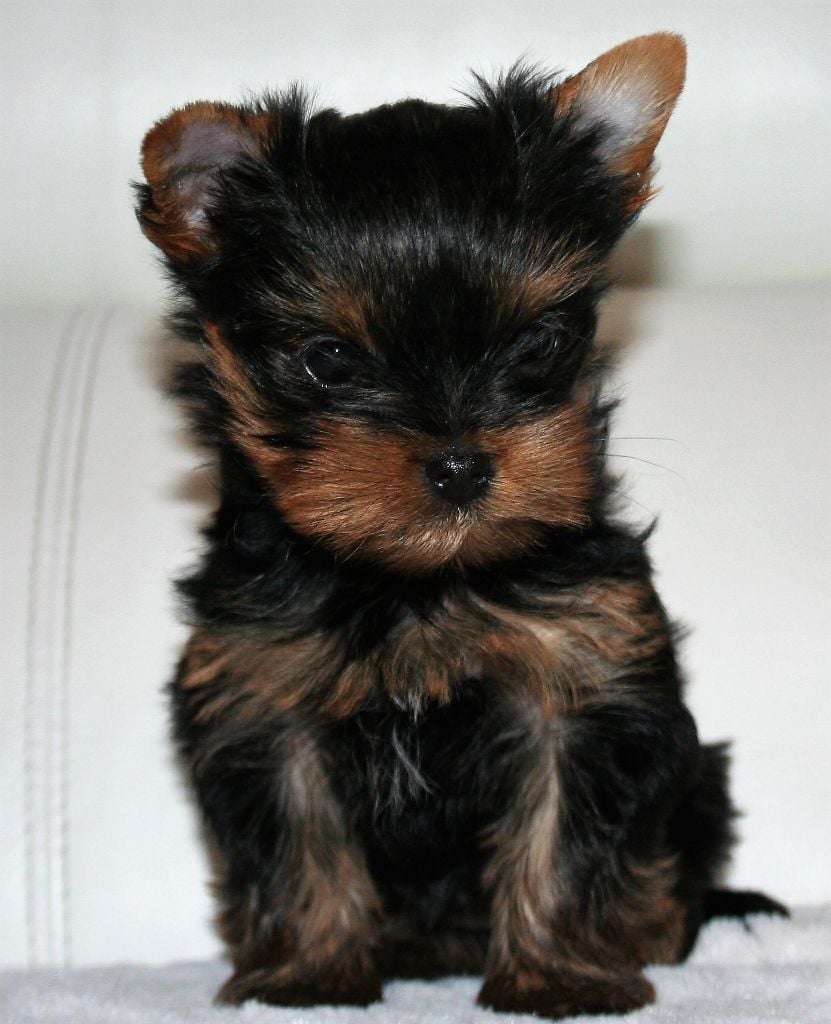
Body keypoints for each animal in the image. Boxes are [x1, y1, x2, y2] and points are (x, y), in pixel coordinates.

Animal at [136, 32, 786, 1018]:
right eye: (328, 360)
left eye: (537, 342)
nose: (458, 464)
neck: (418, 584)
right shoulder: (265, 694)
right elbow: (298, 836)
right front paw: (311, 975)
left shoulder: (581, 677)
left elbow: (563, 834)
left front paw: (557, 975)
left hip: (698, 781)